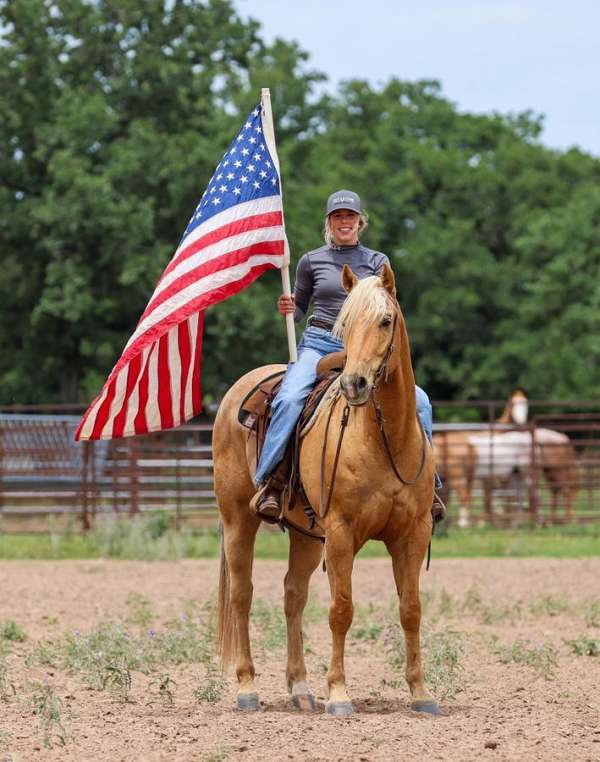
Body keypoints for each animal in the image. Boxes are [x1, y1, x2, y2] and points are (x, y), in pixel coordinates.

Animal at [212, 263, 439, 716]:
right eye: (345, 325)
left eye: (385, 321)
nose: (355, 384)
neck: (385, 441)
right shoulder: (340, 532)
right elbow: (341, 609)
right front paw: (339, 694)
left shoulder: (413, 532)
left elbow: (410, 609)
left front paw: (421, 693)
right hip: (238, 519)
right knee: (243, 595)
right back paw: (247, 688)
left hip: (305, 534)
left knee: (293, 596)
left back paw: (300, 689)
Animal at [433, 389, 579, 526]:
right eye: (513, 403)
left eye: (526, 403)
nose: (521, 422)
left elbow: (493, 499)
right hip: (527, 474)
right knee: (540, 493)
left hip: (539, 473)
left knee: (546, 493)